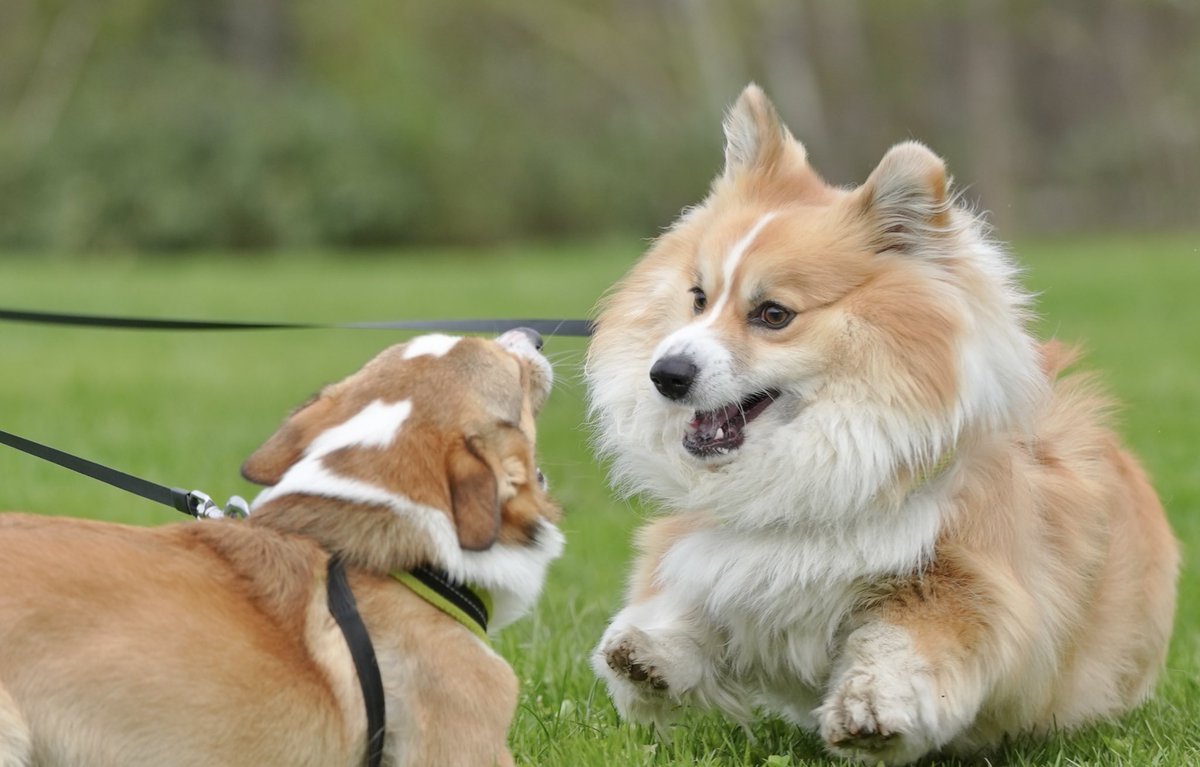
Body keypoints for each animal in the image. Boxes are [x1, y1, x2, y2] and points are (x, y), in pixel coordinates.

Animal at [585, 87, 1176, 763]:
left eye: (773, 314)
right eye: (698, 298)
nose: (667, 373)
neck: (837, 459)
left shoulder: (957, 580)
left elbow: (902, 646)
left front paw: (871, 711)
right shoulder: (721, 553)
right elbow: (697, 599)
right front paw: (646, 655)